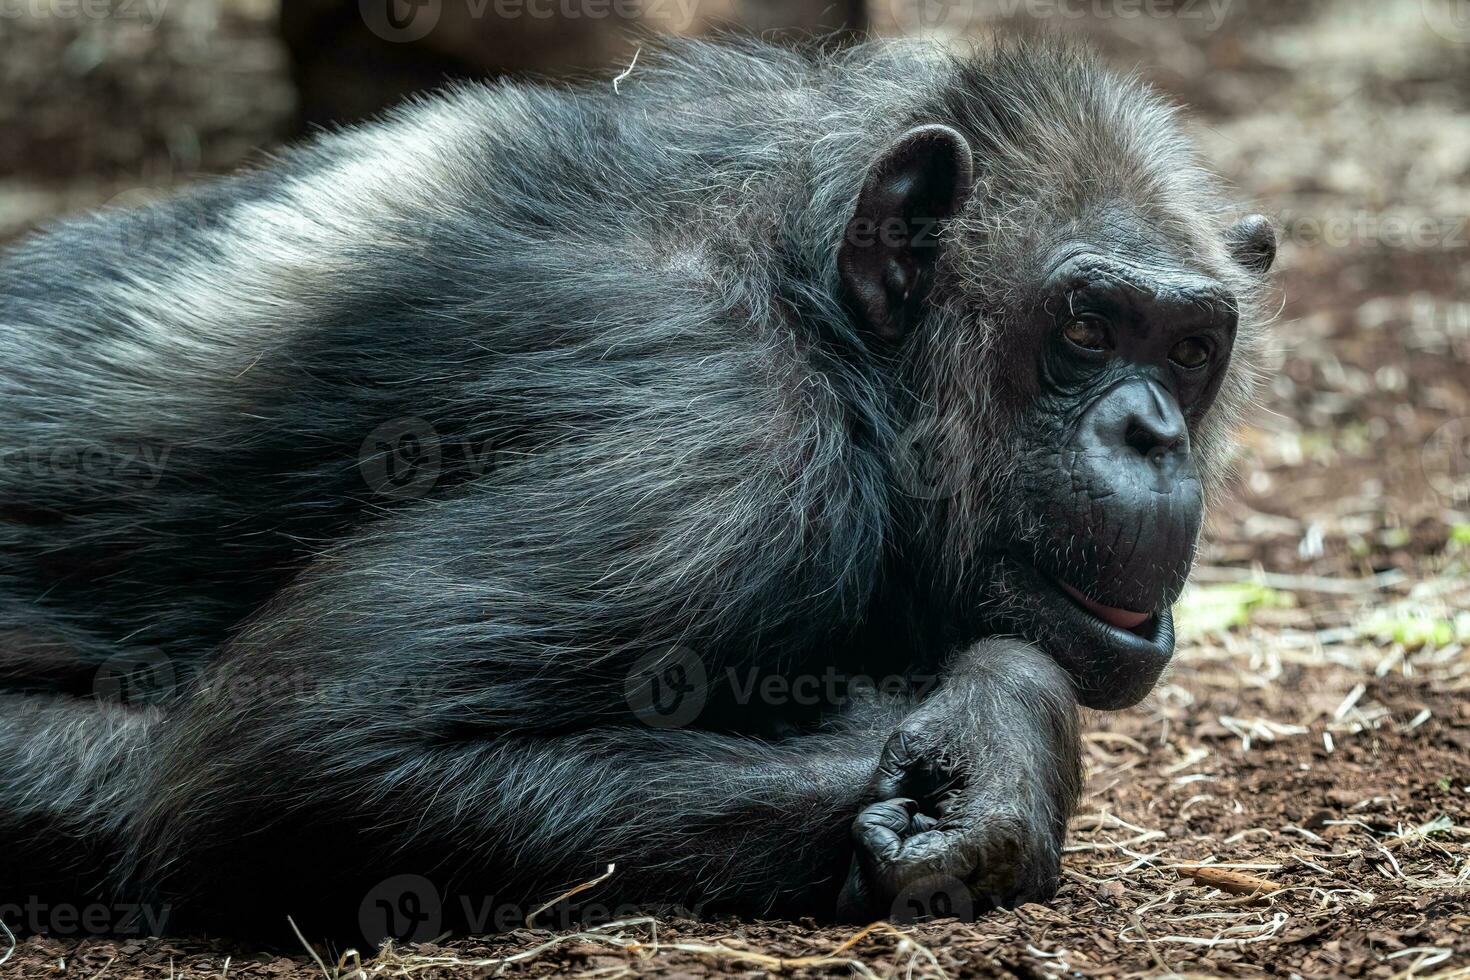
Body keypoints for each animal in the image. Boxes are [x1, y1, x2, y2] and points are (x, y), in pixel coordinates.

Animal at [0, 34, 1270, 946]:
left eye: (1190, 348)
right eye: (1085, 327)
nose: (1151, 432)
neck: (837, 337)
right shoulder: (722, 456)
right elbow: (306, 750)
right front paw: (1000, 736)